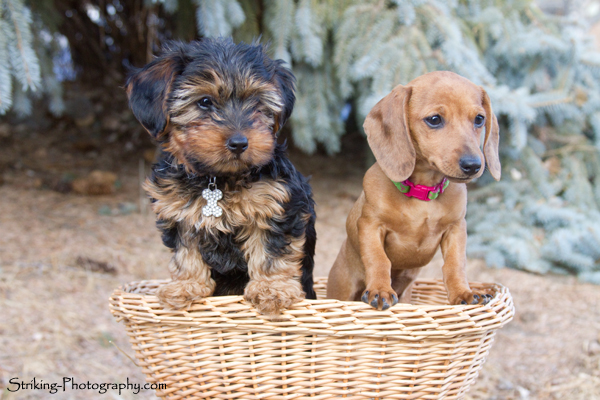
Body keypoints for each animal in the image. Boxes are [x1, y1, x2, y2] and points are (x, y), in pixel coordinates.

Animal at [125, 39, 316, 318]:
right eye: (204, 102)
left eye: (257, 102)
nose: (239, 143)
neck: (216, 178)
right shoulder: (179, 214)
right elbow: (185, 253)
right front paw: (186, 286)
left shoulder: (277, 205)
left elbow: (271, 251)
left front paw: (271, 289)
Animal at [326, 71, 500, 310]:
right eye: (434, 119)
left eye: (479, 119)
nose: (473, 165)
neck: (422, 193)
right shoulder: (370, 224)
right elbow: (378, 259)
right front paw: (380, 289)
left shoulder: (456, 229)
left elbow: (455, 264)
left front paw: (463, 293)